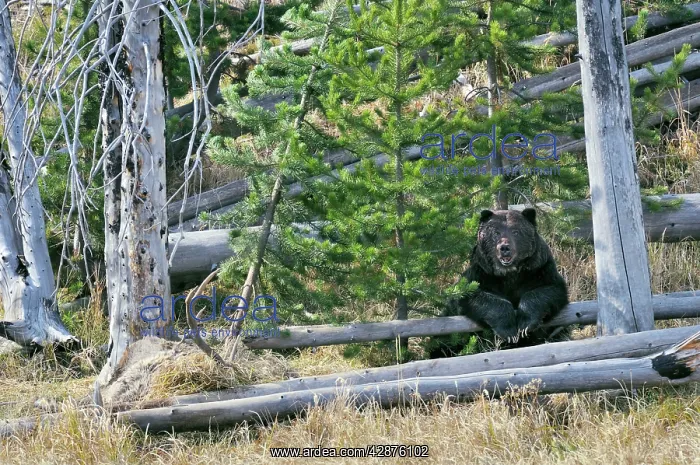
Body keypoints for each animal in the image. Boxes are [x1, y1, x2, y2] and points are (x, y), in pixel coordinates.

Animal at [427, 208, 569, 358]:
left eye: (516, 231)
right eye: (496, 232)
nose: (504, 247)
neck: (509, 273)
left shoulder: (539, 269)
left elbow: (550, 290)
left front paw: (525, 325)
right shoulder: (482, 273)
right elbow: (475, 296)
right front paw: (509, 330)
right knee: (443, 338)